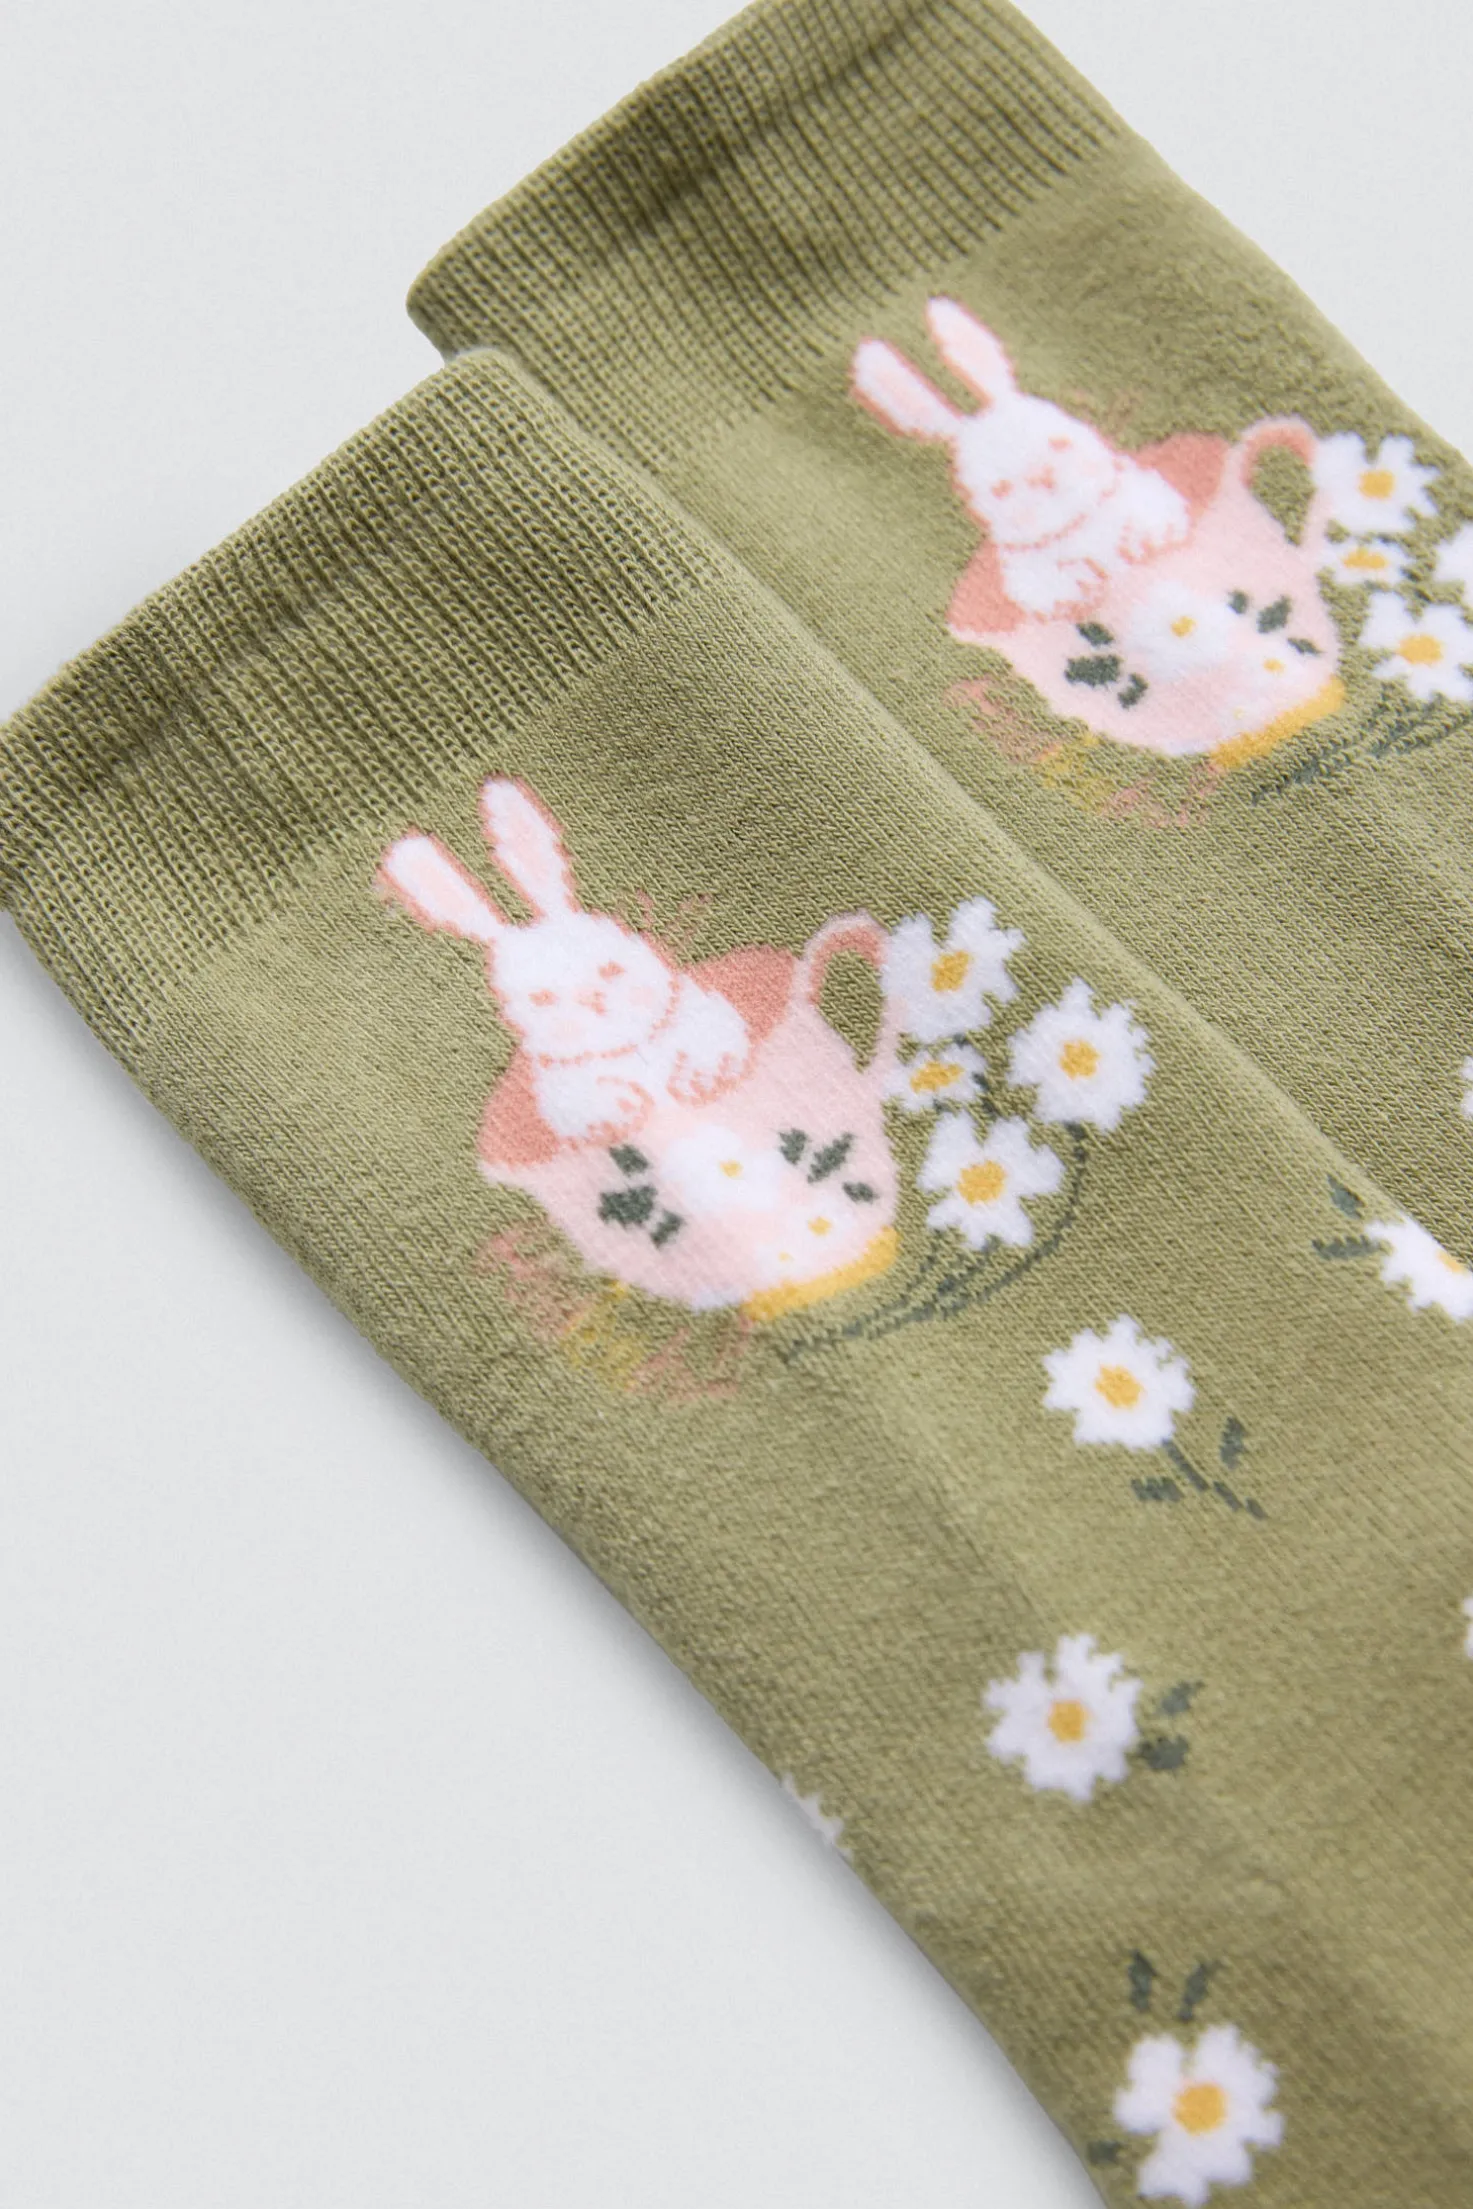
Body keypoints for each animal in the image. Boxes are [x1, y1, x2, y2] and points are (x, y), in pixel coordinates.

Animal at [377, 779, 751, 1147]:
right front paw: (618, 1111)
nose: (593, 998)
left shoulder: (703, 1011)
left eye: (612, 970)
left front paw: (701, 1076)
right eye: (541, 999)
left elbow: (711, 1039)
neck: (627, 1048)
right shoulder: (561, 1090)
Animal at [852, 297, 1190, 621]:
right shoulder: (1028, 574)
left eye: (1060, 444)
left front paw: (1143, 540)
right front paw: (1080, 588)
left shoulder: (1141, 493)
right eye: (1001, 490)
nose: (1043, 475)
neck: (1074, 525)